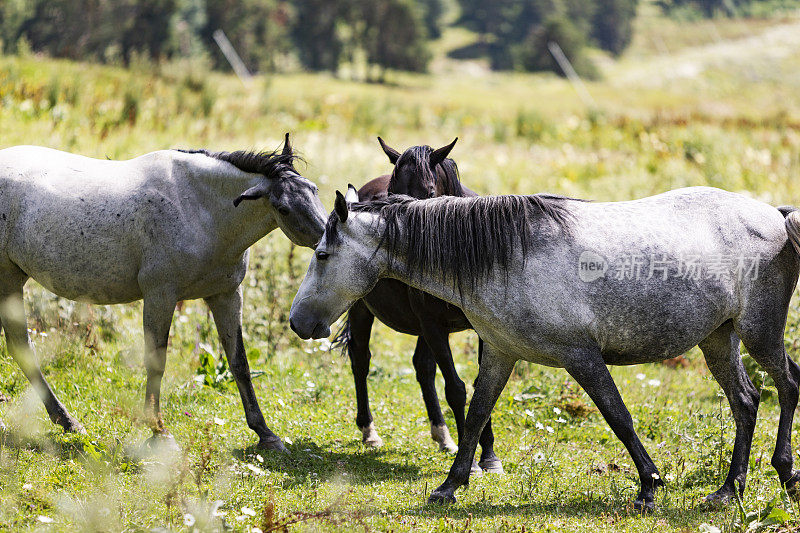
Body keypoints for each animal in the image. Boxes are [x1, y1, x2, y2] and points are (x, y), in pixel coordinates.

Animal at [0, 134, 326, 448]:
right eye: (283, 208)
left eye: (314, 189)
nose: (327, 240)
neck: (200, 210)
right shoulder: (161, 296)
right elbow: (156, 362)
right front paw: (158, 430)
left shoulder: (226, 295)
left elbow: (239, 363)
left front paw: (265, 433)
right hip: (8, 280)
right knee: (22, 347)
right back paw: (67, 420)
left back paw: (66, 421)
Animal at [290, 187, 800, 512]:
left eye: (322, 255)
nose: (298, 322)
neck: (505, 257)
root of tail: (775, 216)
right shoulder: (500, 354)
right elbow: (475, 415)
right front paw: (450, 486)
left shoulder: (582, 357)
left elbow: (618, 416)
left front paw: (648, 487)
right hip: (719, 338)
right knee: (746, 401)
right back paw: (729, 491)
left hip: (758, 333)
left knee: (788, 385)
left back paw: (786, 474)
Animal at [334, 137, 504, 474]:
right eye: (391, 192)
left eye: (429, 192)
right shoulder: (431, 324)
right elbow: (456, 389)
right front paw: (471, 464)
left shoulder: (482, 329)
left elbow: (483, 387)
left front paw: (489, 456)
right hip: (364, 309)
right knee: (361, 360)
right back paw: (369, 431)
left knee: (422, 367)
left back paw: (443, 435)